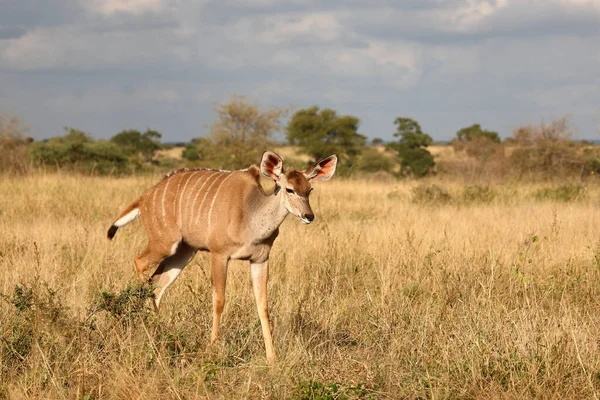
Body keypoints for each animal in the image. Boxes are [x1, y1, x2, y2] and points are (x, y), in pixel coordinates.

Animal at [107, 151, 338, 362]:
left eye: (309, 189)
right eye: (289, 189)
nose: (309, 216)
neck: (249, 215)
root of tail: (145, 198)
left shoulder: (260, 259)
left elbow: (263, 305)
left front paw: (272, 358)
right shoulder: (219, 254)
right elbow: (219, 301)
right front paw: (212, 348)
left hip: (183, 252)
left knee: (156, 287)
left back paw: (164, 335)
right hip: (164, 243)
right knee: (140, 263)